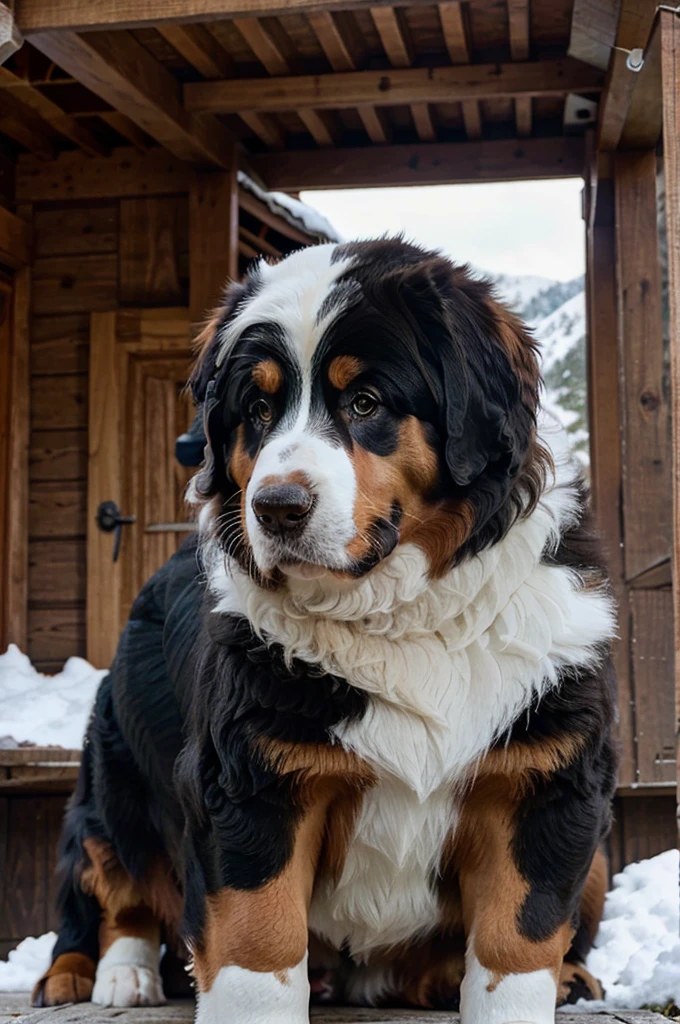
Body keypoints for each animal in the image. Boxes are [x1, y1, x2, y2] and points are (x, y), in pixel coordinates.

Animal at [30, 239, 614, 1024]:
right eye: (256, 409)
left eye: (365, 401)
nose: (276, 507)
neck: (395, 613)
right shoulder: (249, 782)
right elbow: (258, 945)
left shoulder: (545, 783)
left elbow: (515, 947)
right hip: (112, 771)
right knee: (113, 886)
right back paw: (107, 978)